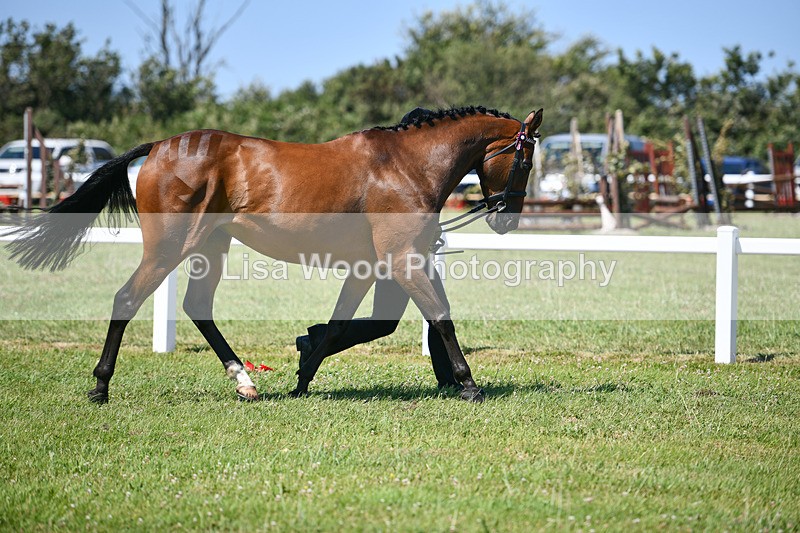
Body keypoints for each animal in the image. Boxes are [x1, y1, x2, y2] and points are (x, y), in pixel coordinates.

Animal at [6, 105, 543, 404]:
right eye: (526, 159)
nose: (507, 218)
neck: (406, 165)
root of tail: (158, 146)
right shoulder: (401, 259)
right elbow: (441, 317)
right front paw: (469, 385)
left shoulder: (374, 267)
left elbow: (346, 324)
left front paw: (303, 371)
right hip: (170, 248)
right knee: (126, 299)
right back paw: (100, 388)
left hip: (209, 247)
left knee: (197, 307)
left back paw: (245, 382)